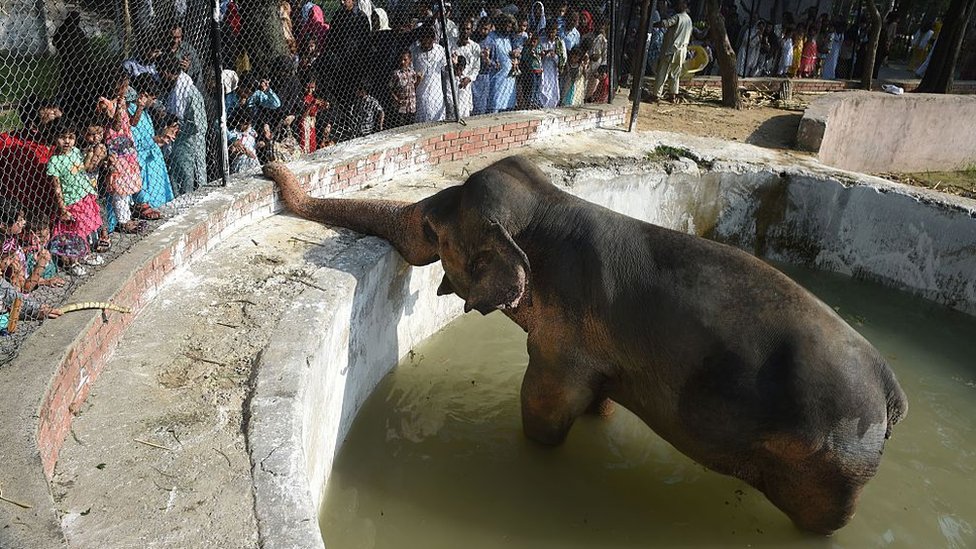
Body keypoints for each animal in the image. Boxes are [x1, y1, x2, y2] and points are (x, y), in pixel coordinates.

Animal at [264, 156, 908, 532]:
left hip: (831, 468)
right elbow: (598, 398)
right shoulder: (602, 348)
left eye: (432, 231)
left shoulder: (566, 338)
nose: (269, 163)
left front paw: (537, 450)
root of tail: (889, 389)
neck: (553, 206)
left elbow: (545, 403)